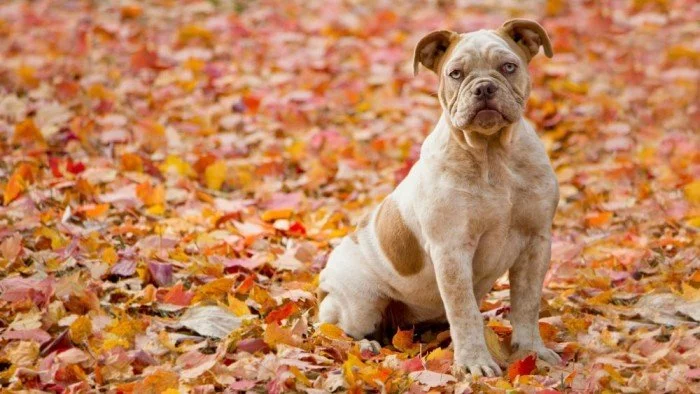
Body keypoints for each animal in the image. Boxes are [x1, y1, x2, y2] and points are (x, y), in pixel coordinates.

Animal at [318, 20, 564, 378]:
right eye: (456, 74)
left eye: (508, 67)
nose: (484, 88)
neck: (493, 155)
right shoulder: (452, 251)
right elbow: (464, 312)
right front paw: (474, 362)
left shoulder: (536, 243)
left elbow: (527, 304)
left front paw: (531, 351)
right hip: (359, 301)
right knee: (335, 329)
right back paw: (364, 346)